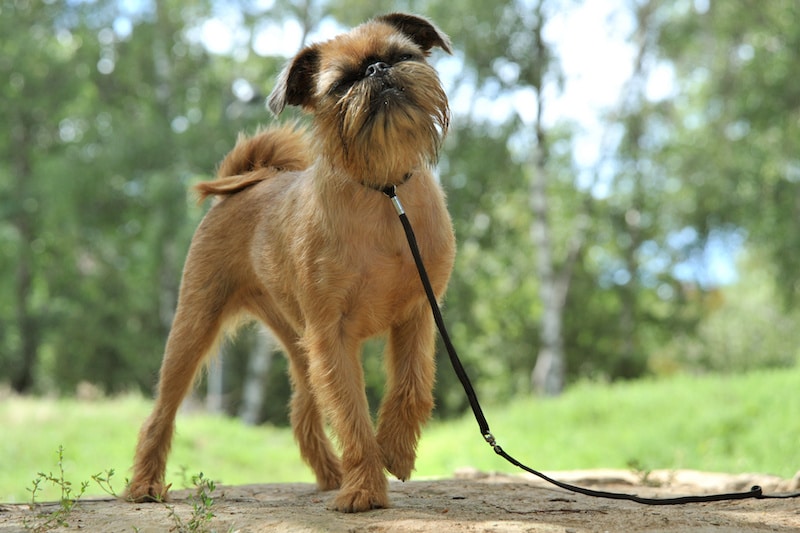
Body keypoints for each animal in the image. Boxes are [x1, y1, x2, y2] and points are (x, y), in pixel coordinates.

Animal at [128, 13, 460, 512]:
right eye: (341, 84)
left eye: (402, 55)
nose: (377, 69)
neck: (384, 193)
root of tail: (251, 179)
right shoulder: (332, 334)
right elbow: (351, 413)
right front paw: (365, 488)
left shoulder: (417, 315)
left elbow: (412, 387)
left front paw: (396, 452)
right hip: (193, 327)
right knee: (162, 411)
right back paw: (145, 486)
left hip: (299, 340)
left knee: (304, 409)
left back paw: (331, 474)